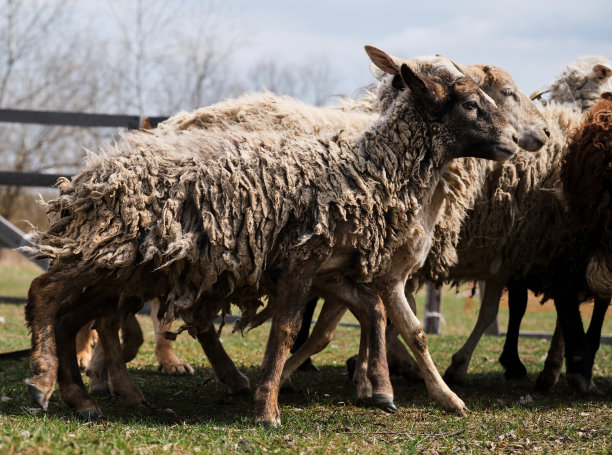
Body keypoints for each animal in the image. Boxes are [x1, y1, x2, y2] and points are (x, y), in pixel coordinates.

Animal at [25, 44, 520, 426]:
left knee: (76, 316)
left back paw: (87, 398)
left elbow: (373, 313)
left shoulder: (333, 270)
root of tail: (91, 172)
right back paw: (44, 383)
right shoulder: (303, 260)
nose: (514, 142)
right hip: (104, 250)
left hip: (124, 268)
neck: (366, 167)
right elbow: (286, 330)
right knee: (45, 293)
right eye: (471, 105)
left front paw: (380, 389)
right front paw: (268, 410)